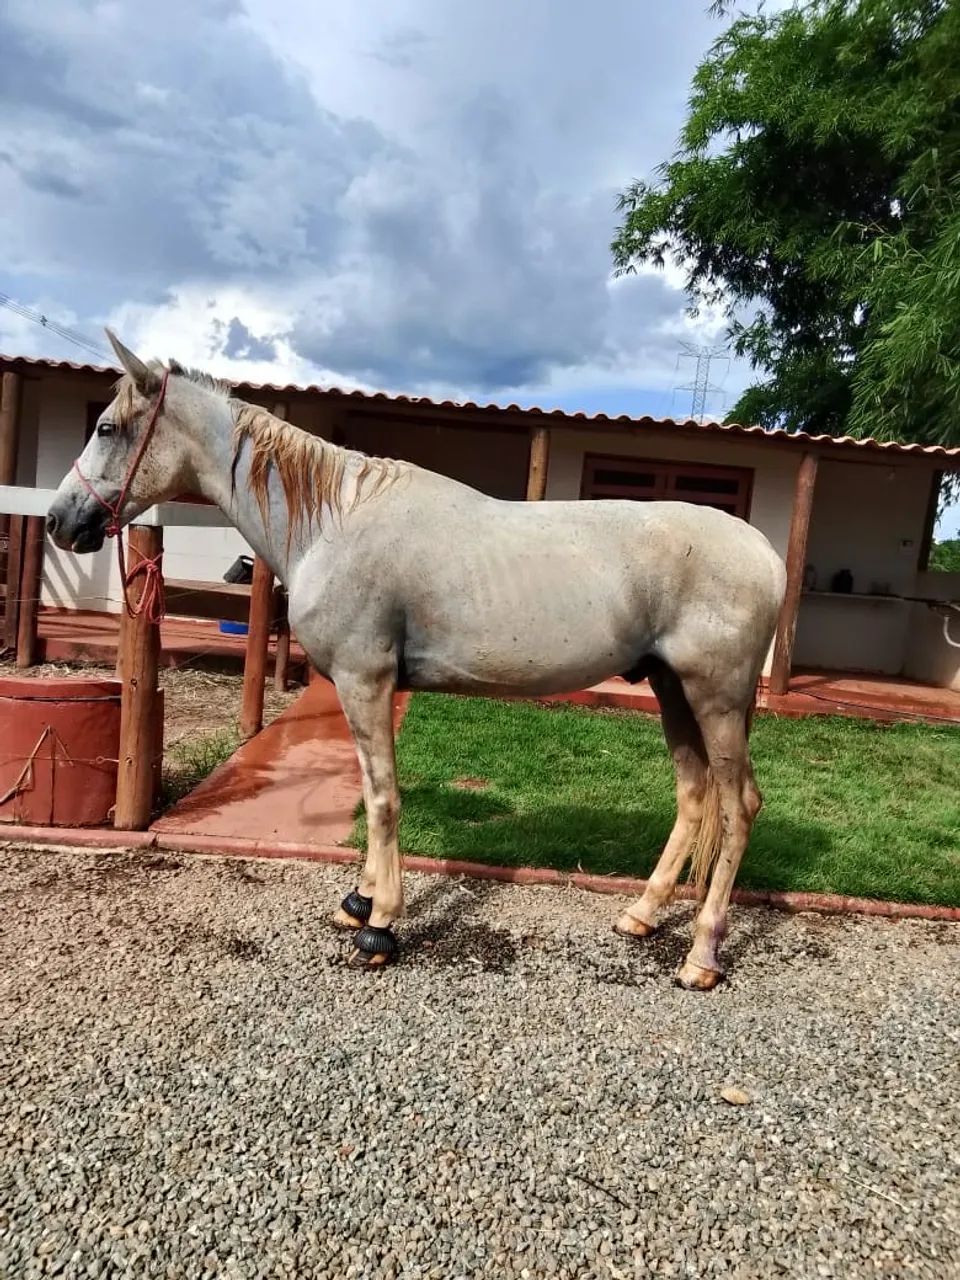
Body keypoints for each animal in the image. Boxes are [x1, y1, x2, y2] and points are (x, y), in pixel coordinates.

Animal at [47, 331, 786, 989]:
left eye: (108, 428)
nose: (59, 520)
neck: (333, 521)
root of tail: (765, 553)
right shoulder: (358, 688)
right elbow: (373, 787)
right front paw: (358, 903)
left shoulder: (365, 680)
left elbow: (382, 797)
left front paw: (380, 923)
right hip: (671, 689)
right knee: (695, 795)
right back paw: (641, 914)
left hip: (715, 698)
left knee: (739, 804)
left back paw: (701, 956)